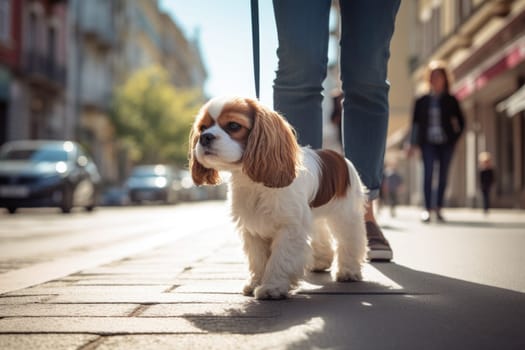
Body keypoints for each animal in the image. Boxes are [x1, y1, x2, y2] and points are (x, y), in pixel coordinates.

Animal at [190, 96, 366, 300]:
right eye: (203, 127)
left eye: (233, 125)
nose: (205, 137)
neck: (254, 183)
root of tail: (338, 156)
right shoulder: (253, 230)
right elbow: (258, 260)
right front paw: (255, 282)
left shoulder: (289, 228)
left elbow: (280, 259)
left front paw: (272, 287)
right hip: (314, 216)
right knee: (321, 235)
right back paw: (321, 261)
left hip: (345, 215)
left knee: (350, 240)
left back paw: (348, 271)